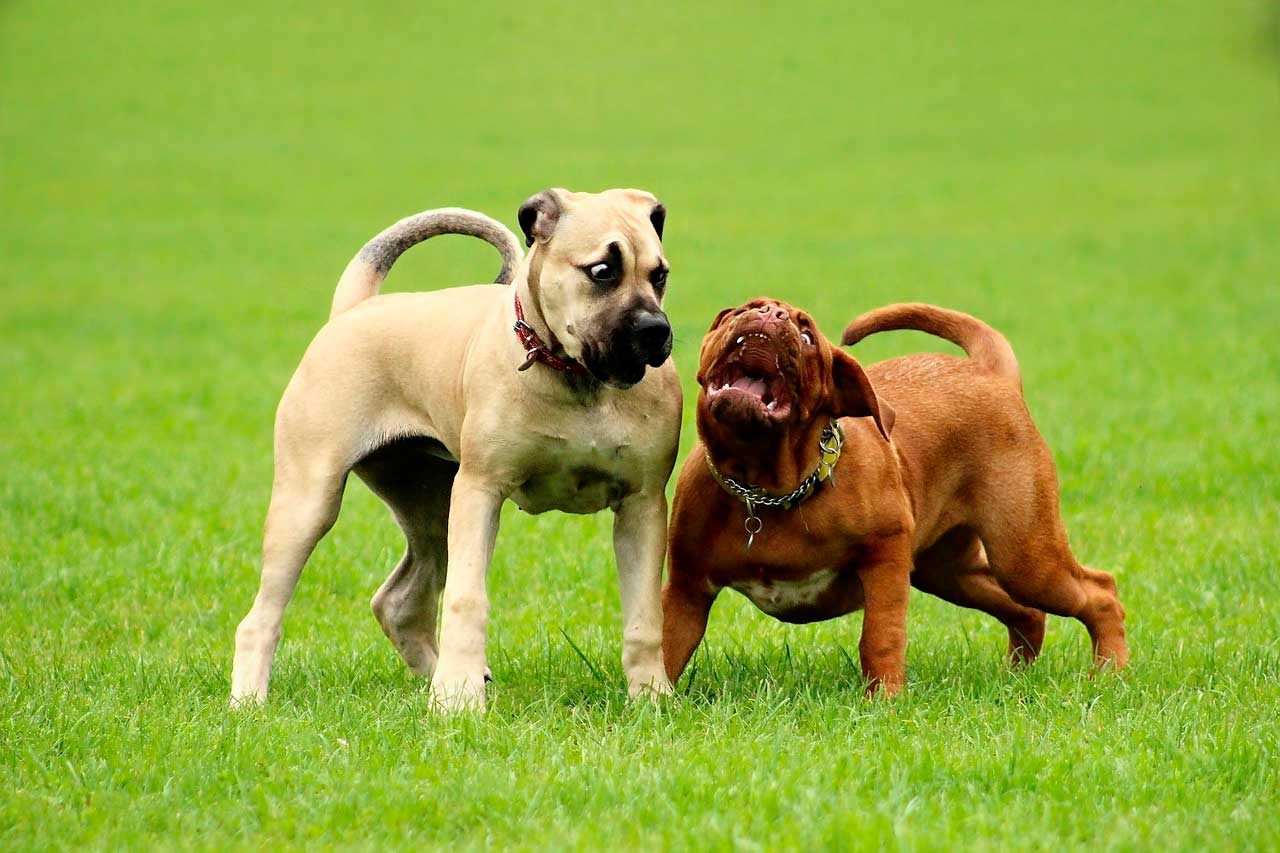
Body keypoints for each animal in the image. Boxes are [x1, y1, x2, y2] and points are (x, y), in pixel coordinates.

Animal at [235, 188, 686, 712]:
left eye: (659, 275)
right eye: (602, 271)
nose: (655, 330)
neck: (576, 379)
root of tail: (353, 311)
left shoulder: (643, 506)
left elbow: (644, 615)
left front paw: (652, 697)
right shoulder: (478, 492)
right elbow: (467, 599)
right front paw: (457, 700)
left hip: (428, 505)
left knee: (400, 603)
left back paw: (447, 677)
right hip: (309, 502)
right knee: (261, 617)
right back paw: (249, 700)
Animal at [665, 297, 1126, 691]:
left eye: (808, 334)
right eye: (743, 309)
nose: (771, 312)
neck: (764, 487)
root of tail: (990, 373)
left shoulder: (885, 555)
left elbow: (880, 637)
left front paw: (884, 701)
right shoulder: (688, 588)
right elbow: (665, 647)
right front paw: (657, 702)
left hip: (1025, 555)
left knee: (1099, 591)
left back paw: (1109, 672)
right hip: (950, 571)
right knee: (1026, 609)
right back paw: (1019, 675)